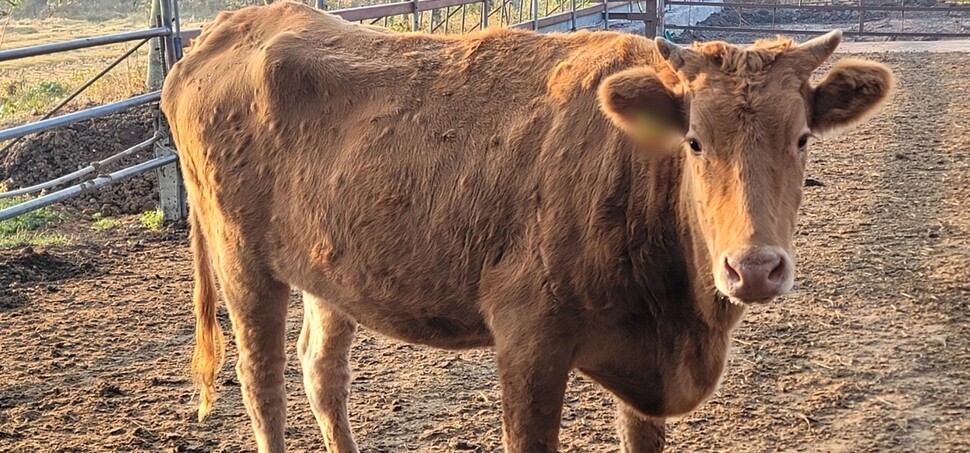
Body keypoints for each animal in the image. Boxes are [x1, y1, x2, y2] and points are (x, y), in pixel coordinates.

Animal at [161, 1, 892, 450]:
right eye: (694, 142)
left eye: (802, 138)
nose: (755, 268)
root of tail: (227, 27)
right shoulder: (528, 341)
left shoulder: (649, 368)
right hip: (243, 263)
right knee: (263, 382)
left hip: (330, 270)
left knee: (321, 370)